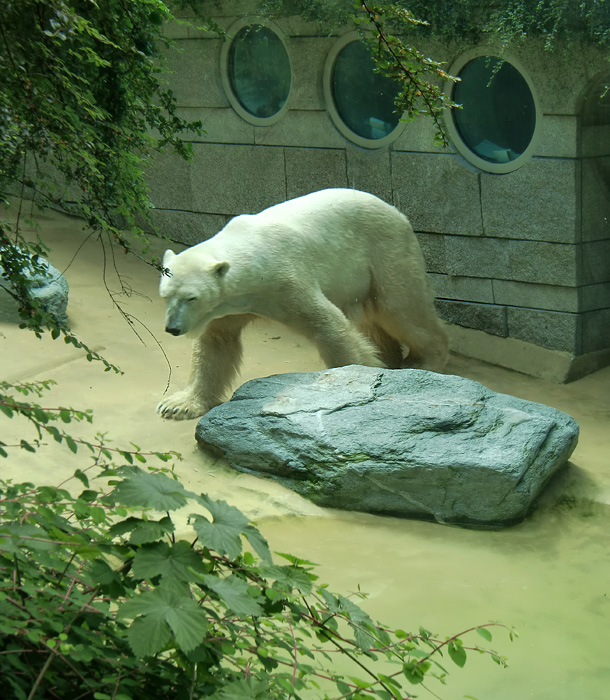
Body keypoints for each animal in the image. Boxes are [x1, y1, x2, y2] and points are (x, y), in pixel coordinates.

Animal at [158, 189, 446, 418]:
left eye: (191, 297)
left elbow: (329, 327)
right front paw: (179, 404)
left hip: (386, 250)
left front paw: (358, 379)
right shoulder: (228, 306)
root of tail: (396, 212)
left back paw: (424, 361)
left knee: (402, 308)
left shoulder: (285, 279)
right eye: (165, 295)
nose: (173, 328)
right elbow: (216, 343)